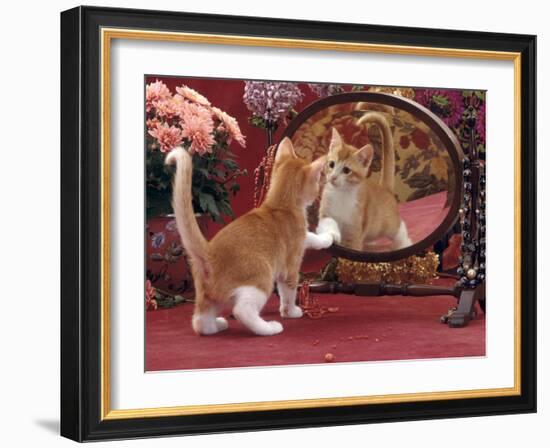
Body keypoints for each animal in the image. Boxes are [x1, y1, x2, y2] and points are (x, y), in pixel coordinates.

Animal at [166, 138, 332, 334]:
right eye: (317, 181)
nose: (319, 189)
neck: (280, 205)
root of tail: (209, 252)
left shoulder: (301, 238)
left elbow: (311, 236)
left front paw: (327, 237)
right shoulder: (290, 267)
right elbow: (288, 293)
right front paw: (291, 312)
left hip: (207, 297)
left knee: (199, 322)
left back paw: (217, 325)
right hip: (262, 277)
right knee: (242, 310)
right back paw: (269, 328)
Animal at [316, 112, 412, 252]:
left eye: (346, 170)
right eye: (331, 164)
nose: (333, 177)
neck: (341, 194)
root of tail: (384, 188)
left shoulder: (354, 232)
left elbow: (353, 245)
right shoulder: (325, 213)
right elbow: (326, 224)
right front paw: (331, 234)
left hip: (387, 225)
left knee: (400, 227)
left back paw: (404, 243)